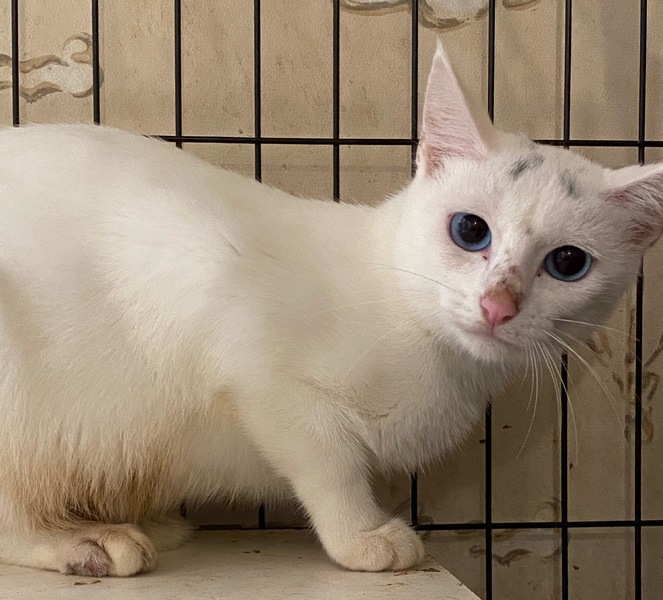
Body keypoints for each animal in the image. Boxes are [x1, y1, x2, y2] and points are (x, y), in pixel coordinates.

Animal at [0, 41, 661, 578]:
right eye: (470, 230)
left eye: (568, 262)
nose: (498, 303)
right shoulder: (250, 349)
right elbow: (330, 459)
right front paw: (363, 534)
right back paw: (83, 541)